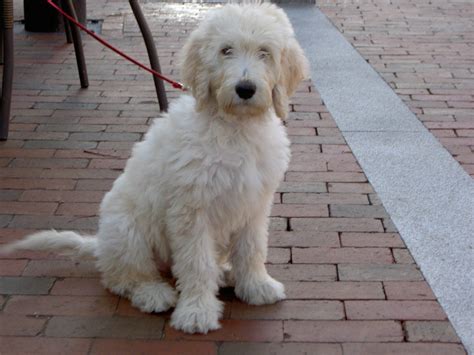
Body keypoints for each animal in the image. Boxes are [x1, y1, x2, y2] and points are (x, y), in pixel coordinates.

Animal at [2, 2, 308, 334]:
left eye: (265, 52)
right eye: (226, 50)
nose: (245, 89)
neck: (234, 129)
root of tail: (101, 245)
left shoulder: (254, 203)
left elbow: (252, 249)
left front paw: (256, 286)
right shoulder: (191, 210)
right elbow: (197, 262)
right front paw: (196, 312)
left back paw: (226, 273)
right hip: (128, 231)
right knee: (124, 278)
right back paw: (154, 293)